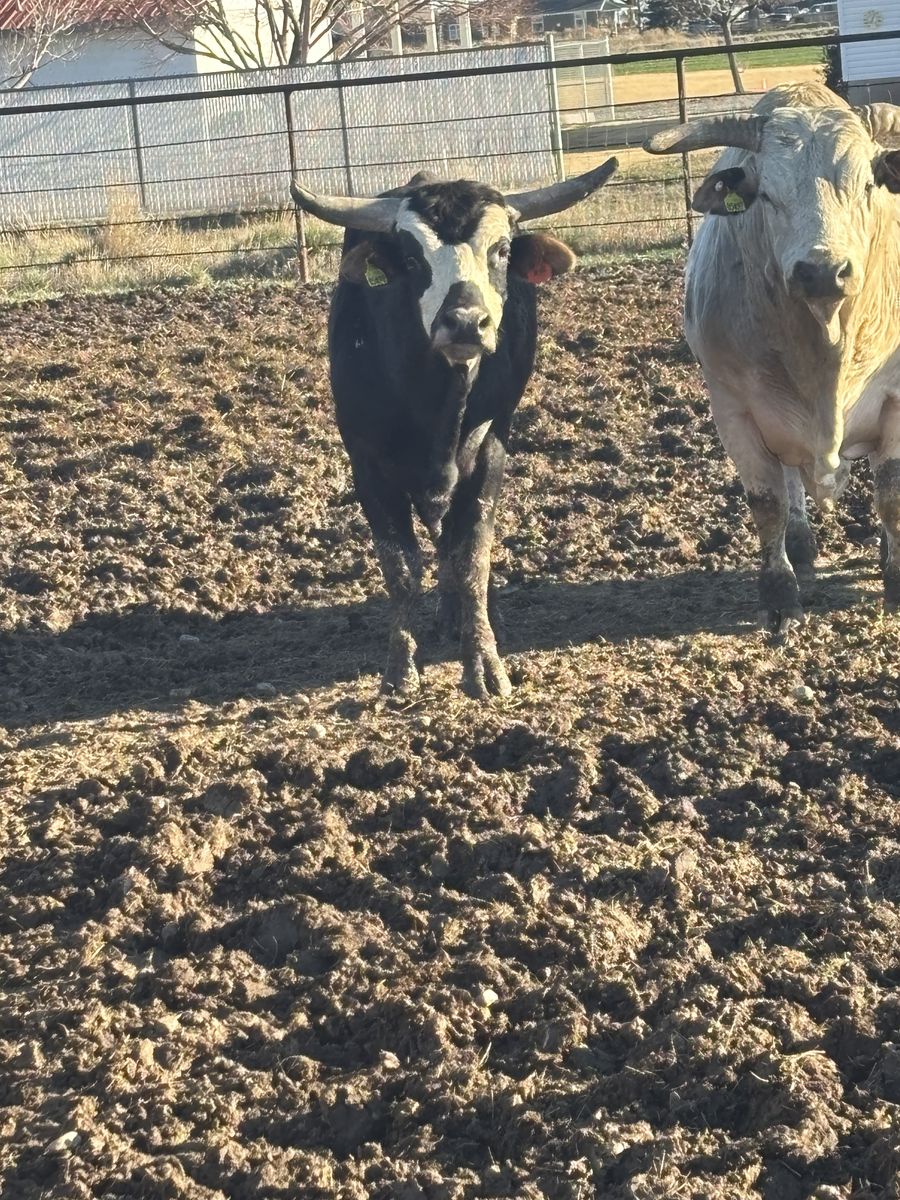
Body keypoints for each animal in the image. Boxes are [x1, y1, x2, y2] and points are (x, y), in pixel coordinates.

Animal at [291, 160, 617, 698]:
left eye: (501, 249)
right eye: (410, 255)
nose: (465, 322)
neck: (433, 403)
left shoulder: (489, 452)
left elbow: (471, 558)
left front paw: (483, 660)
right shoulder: (367, 464)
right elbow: (401, 568)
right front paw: (400, 668)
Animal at [645, 83, 900, 635]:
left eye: (869, 183)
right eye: (766, 194)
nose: (823, 271)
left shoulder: (896, 399)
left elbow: (890, 492)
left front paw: (895, 580)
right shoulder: (734, 409)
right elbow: (768, 504)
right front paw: (781, 597)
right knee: (790, 484)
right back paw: (802, 546)